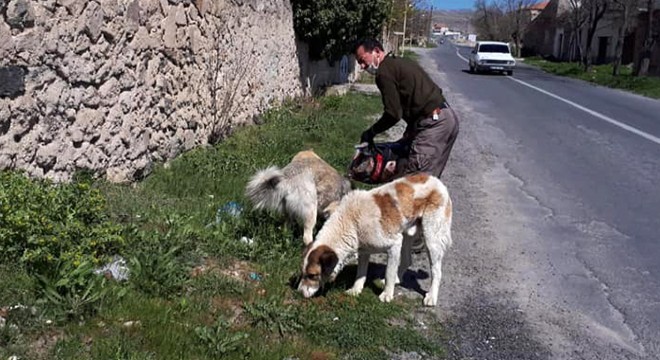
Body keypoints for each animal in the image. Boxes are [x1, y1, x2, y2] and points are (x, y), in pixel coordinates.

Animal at [298, 173, 448, 306]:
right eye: (303, 273)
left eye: (312, 275)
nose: (298, 292)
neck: (351, 221)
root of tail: (438, 182)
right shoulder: (364, 249)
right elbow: (361, 273)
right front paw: (356, 290)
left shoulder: (394, 244)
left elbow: (389, 272)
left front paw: (387, 294)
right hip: (407, 235)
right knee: (407, 260)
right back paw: (398, 279)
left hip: (431, 238)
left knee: (437, 271)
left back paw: (431, 296)